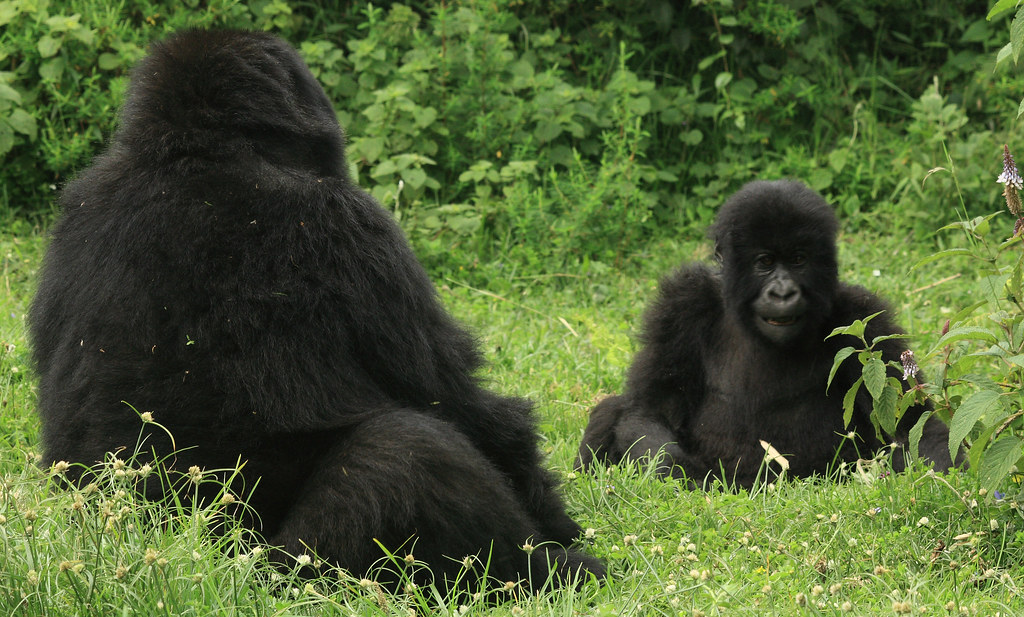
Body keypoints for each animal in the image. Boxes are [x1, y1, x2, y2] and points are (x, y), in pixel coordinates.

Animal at [32, 28, 602, 593]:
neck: (197, 152)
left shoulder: (78, 206)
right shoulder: (354, 224)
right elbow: (468, 409)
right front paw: (561, 529)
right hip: (291, 571)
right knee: (404, 451)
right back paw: (548, 571)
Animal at [581, 181, 954, 489]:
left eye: (799, 259)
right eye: (765, 262)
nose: (783, 293)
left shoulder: (866, 323)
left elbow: (910, 427)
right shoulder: (682, 305)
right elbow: (648, 412)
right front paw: (690, 478)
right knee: (612, 409)